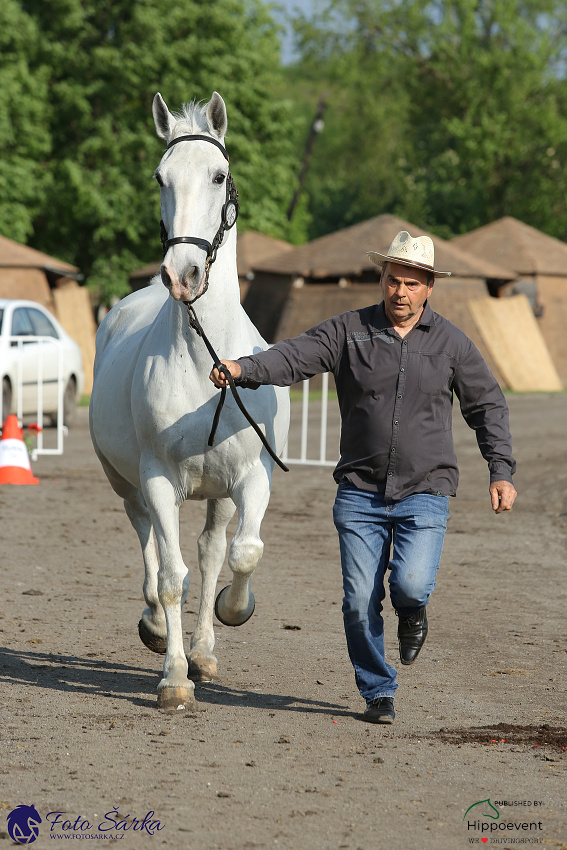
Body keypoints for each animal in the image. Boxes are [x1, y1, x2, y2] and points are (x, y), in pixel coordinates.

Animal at [91, 91, 292, 708]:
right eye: (161, 177)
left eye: (218, 176)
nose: (182, 274)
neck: (208, 364)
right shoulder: (158, 478)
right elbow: (171, 577)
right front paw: (174, 679)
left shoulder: (251, 478)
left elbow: (241, 553)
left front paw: (233, 611)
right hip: (128, 483)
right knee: (152, 548)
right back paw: (158, 628)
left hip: (216, 492)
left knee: (208, 552)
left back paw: (203, 647)